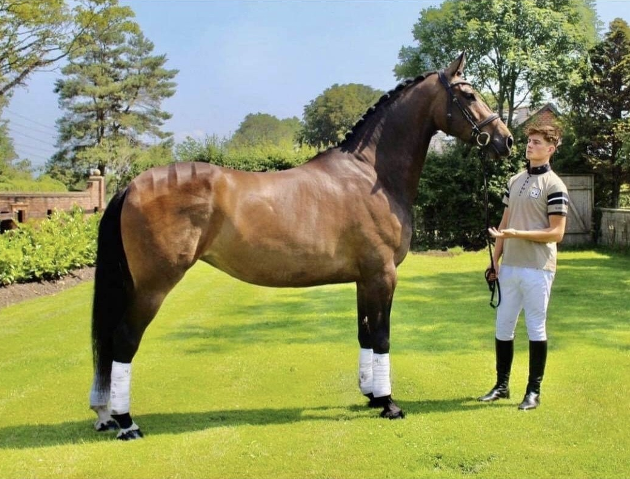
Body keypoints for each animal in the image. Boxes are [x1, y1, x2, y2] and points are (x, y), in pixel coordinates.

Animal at [89, 52, 512, 438]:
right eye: (469, 94)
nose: (505, 140)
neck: (371, 173)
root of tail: (131, 186)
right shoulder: (383, 275)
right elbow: (382, 336)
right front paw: (389, 404)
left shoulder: (365, 279)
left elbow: (365, 334)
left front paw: (371, 395)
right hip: (152, 287)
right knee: (123, 341)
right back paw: (126, 423)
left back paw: (107, 415)